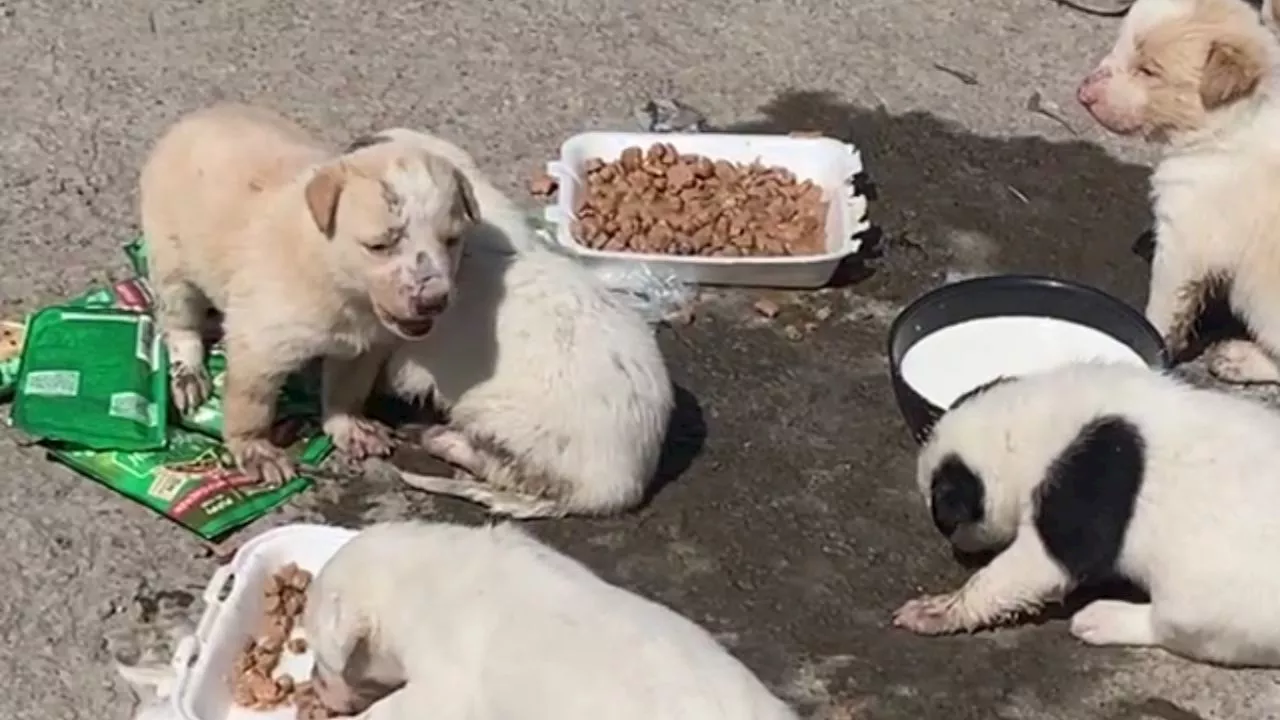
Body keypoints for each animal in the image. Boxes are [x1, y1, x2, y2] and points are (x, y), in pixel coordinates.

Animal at [140, 102, 481, 481]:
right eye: (379, 246)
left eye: (452, 240)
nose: (434, 300)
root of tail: (198, 117)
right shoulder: (259, 338)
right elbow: (250, 400)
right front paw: (255, 449)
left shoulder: (366, 346)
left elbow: (348, 388)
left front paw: (350, 426)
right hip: (169, 257)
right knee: (178, 320)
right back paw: (188, 373)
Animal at [896, 361, 1280, 666]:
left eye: (947, 522)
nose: (958, 548)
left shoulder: (1083, 487)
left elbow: (1033, 567)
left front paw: (937, 611)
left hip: (1212, 598)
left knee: (1176, 626)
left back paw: (1103, 619)